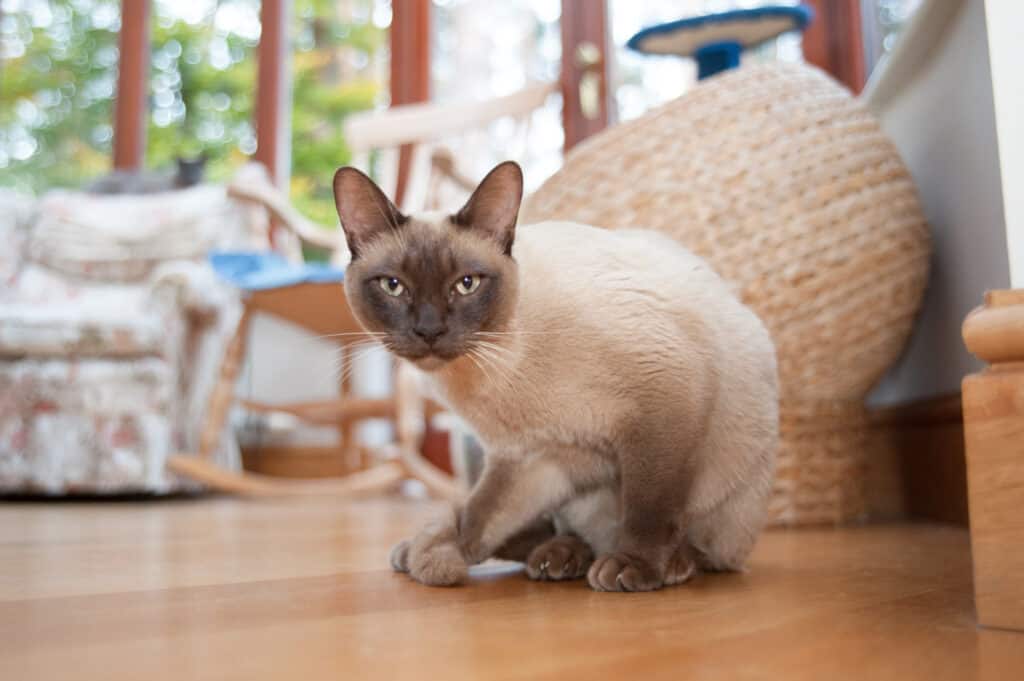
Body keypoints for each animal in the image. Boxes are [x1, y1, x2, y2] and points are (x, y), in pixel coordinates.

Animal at [333, 159, 774, 589]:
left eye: (466, 284)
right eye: (393, 286)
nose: (428, 331)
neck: (498, 366)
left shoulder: (664, 398)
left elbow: (648, 507)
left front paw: (635, 566)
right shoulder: (535, 456)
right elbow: (477, 517)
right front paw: (440, 553)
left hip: (726, 496)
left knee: (710, 552)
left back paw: (670, 564)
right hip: (575, 495)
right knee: (552, 533)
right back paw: (557, 557)